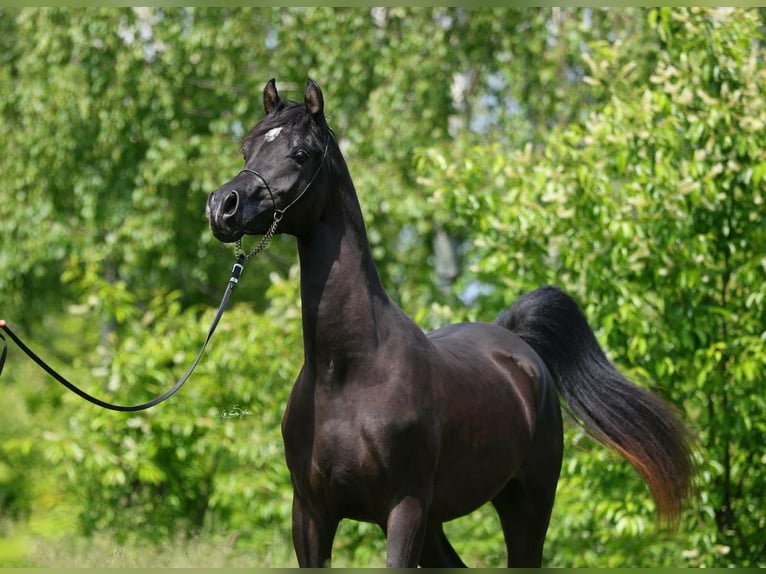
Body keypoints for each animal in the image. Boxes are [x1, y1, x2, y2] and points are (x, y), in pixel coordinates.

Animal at [205, 78, 694, 568]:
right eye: (247, 148)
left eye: (300, 153)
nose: (222, 206)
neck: (347, 373)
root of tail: (515, 340)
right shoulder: (310, 515)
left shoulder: (404, 508)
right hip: (437, 523)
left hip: (526, 504)